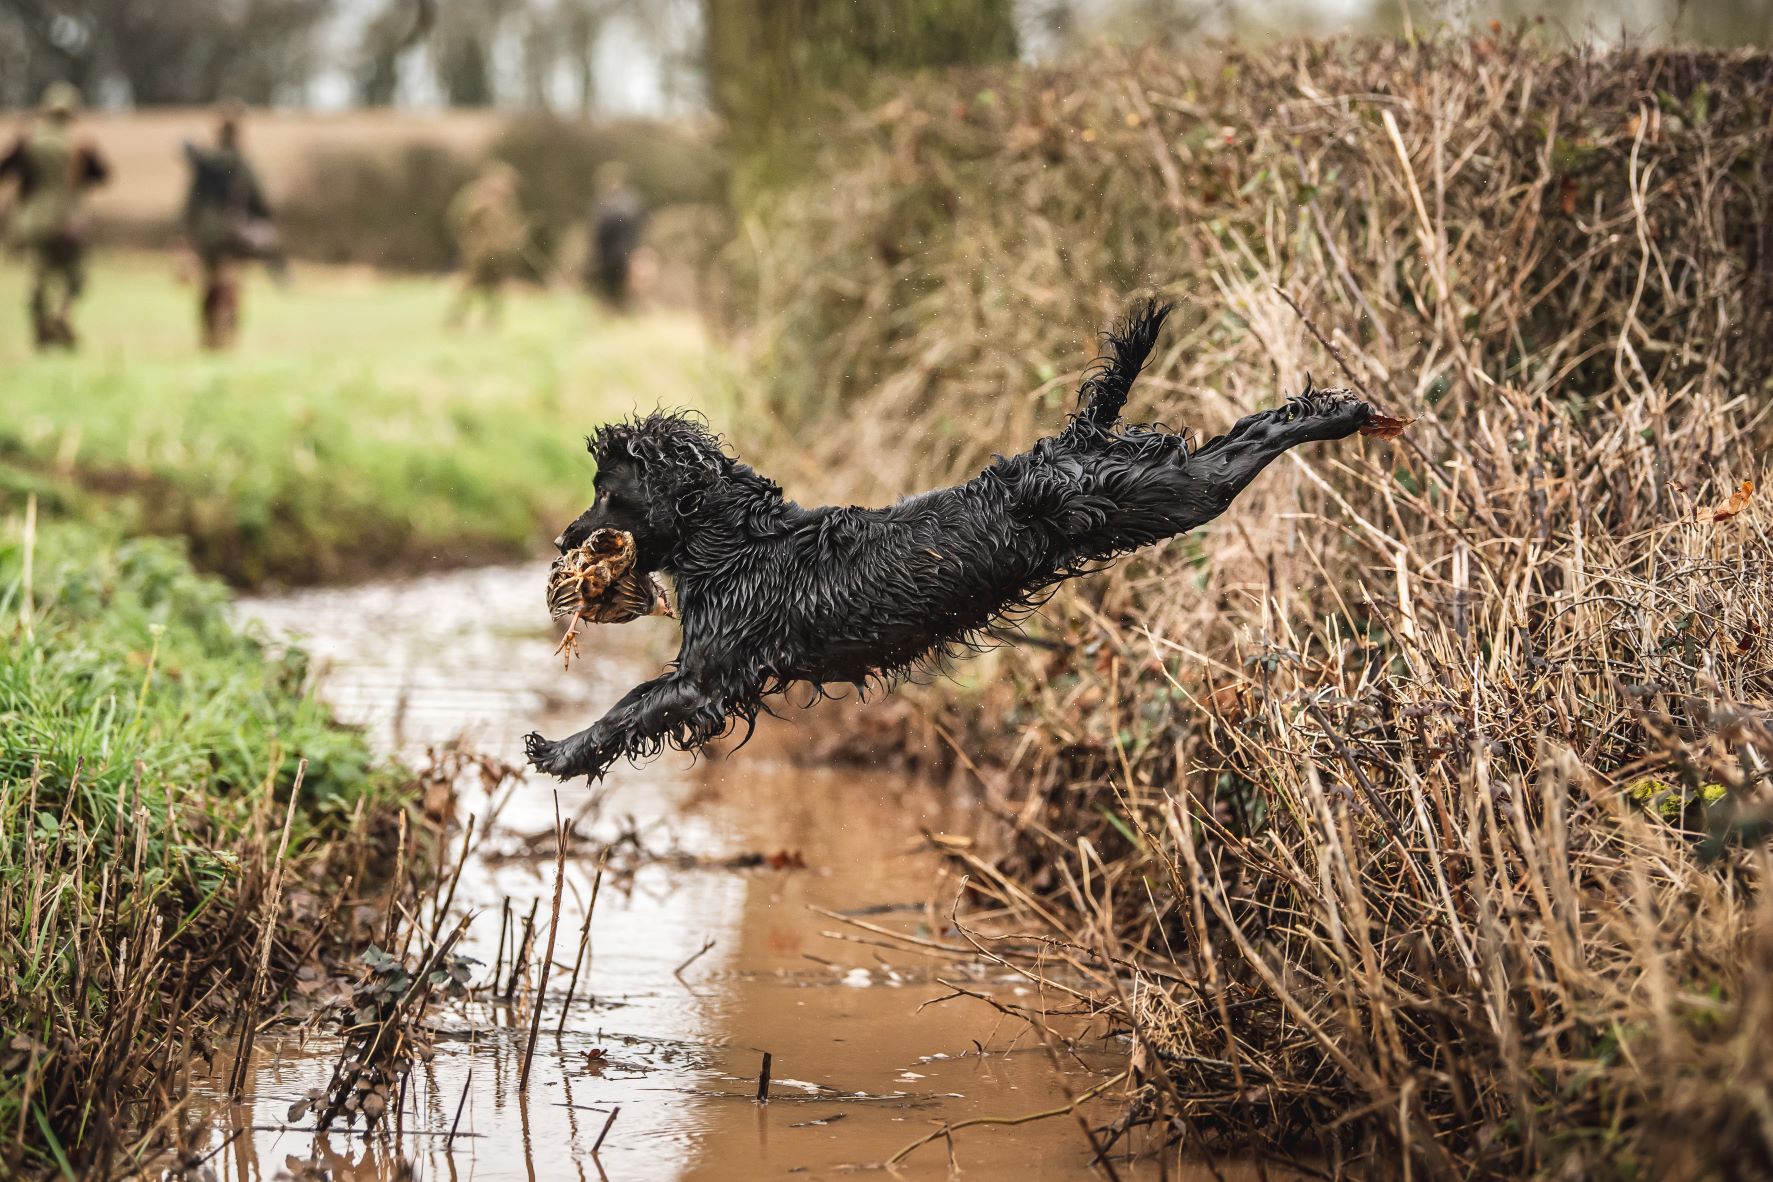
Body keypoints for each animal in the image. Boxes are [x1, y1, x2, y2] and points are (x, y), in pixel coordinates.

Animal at [517, 303, 1375, 786]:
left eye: (607, 493)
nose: (561, 537)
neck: (733, 542)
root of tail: (1073, 441)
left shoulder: (706, 677)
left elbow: (626, 711)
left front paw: (559, 752)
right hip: (1155, 493)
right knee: (1229, 440)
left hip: (1166, 495)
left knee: (1239, 452)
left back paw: (1337, 413)